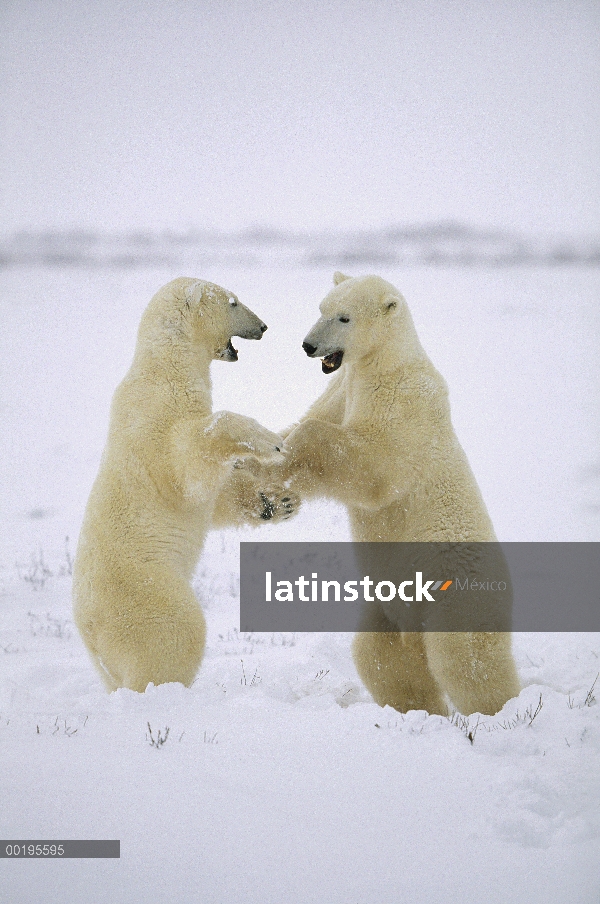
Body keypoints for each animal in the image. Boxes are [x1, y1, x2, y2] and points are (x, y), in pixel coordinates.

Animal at [72, 278, 292, 692]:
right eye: (233, 302)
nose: (264, 326)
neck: (165, 367)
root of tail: (89, 632)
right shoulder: (158, 420)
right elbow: (189, 467)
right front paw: (271, 440)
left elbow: (215, 497)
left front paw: (277, 502)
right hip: (146, 592)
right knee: (176, 633)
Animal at [282, 272, 520, 716]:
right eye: (321, 308)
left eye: (344, 317)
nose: (308, 346)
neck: (385, 361)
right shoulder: (343, 386)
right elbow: (308, 420)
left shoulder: (404, 400)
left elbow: (372, 465)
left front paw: (295, 448)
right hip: (388, 608)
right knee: (383, 657)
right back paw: (416, 709)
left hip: (455, 592)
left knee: (466, 658)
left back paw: (499, 713)